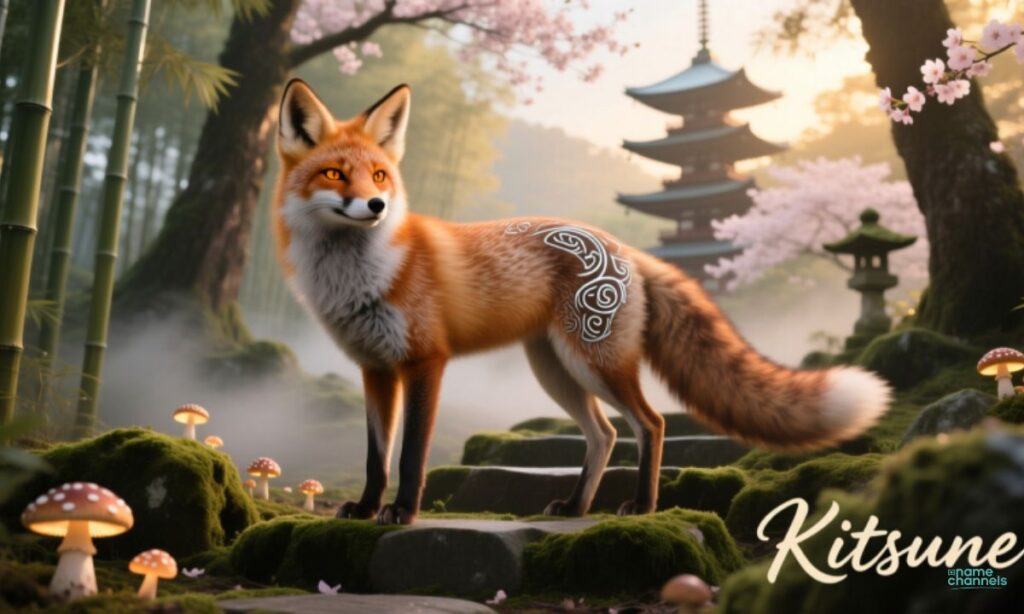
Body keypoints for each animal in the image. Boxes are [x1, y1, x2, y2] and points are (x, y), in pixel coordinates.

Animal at [272, 79, 892, 526]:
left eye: (380, 175)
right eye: (335, 174)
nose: (376, 206)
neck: (359, 276)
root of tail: (626, 248)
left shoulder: (426, 361)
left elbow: (409, 455)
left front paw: (402, 513)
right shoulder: (375, 368)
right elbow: (376, 456)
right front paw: (366, 508)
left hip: (595, 362)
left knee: (649, 424)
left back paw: (641, 507)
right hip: (557, 370)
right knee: (604, 434)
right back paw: (575, 507)